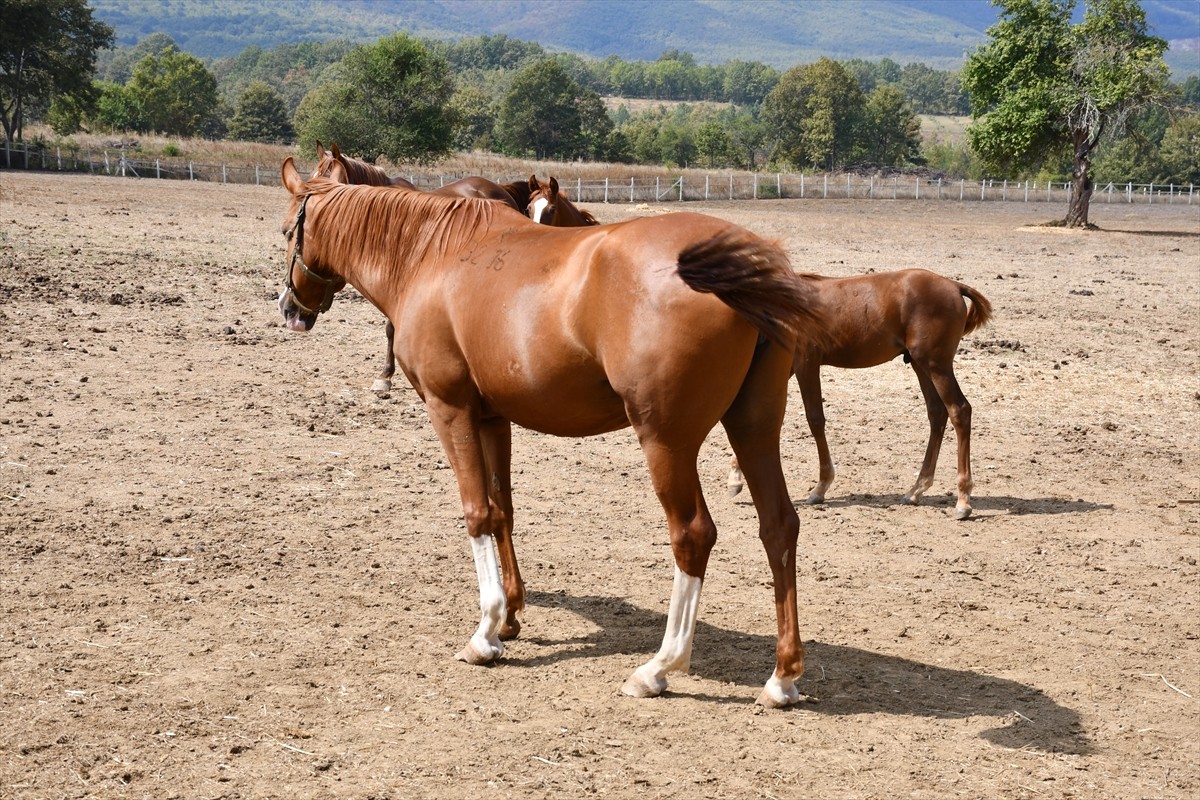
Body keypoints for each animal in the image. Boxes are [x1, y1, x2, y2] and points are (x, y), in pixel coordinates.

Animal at [277, 155, 830, 705]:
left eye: (287, 231)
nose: (288, 308)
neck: (430, 255)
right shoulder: (493, 418)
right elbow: (502, 510)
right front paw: (511, 617)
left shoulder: (450, 409)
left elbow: (477, 512)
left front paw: (486, 633)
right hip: (754, 428)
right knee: (779, 526)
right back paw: (782, 677)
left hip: (666, 441)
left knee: (694, 535)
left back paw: (659, 667)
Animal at [724, 268, 988, 520]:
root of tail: (954, 286)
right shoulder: (789, 368)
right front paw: (735, 478)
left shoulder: (806, 363)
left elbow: (815, 419)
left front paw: (820, 488)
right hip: (920, 364)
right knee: (936, 414)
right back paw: (916, 489)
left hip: (935, 365)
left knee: (959, 410)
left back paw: (963, 501)